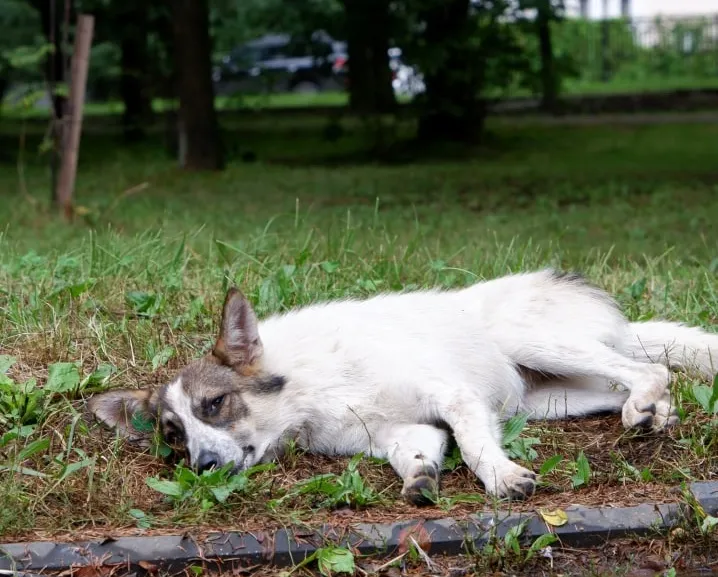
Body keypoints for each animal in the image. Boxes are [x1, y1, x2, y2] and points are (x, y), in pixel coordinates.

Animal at [87, 268, 716, 502]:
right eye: (175, 437)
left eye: (215, 404)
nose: (203, 467)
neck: (308, 395)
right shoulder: (399, 430)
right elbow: (417, 452)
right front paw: (421, 477)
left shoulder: (454, 397)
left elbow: (474, 445)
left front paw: (501, 476)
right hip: (549, 398)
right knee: (628, 387)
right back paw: (651, 413)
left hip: (528, 341)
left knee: (650, 370)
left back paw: (647, 402)